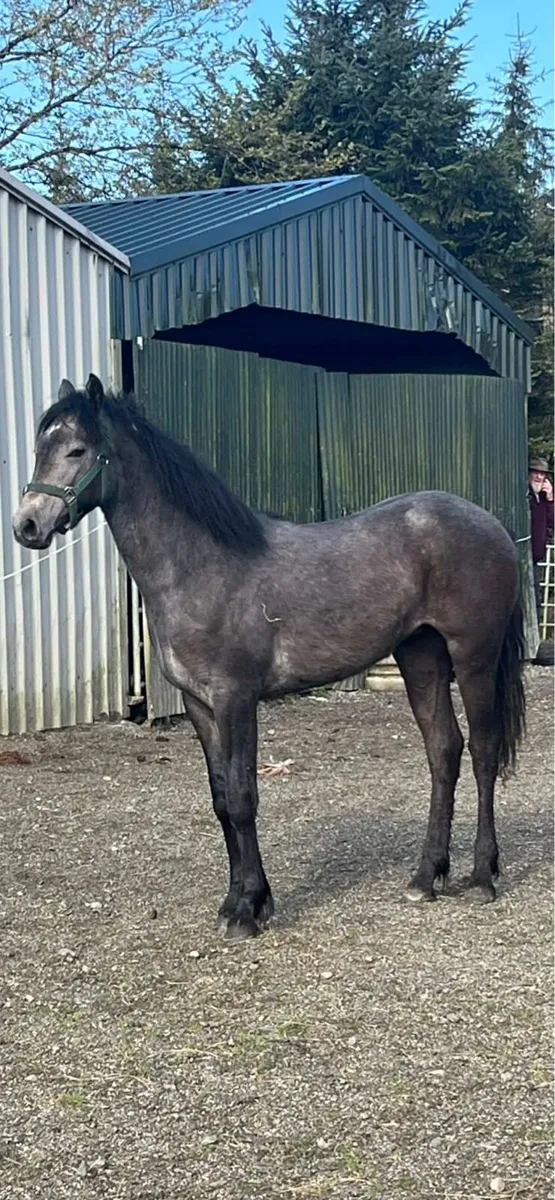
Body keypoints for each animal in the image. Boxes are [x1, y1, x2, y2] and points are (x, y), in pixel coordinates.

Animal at [13, 374, 526, 940]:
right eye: (40, 449)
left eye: (77, 450)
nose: (27, 525)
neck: (200, 568)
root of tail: (493, 526)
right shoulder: (200, 706)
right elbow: (220, 801)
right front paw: (238, 901)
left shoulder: (237, 699)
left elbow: (243, 799)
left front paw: (247, 911)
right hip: (421, 657)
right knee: (443, 751)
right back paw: (425, 876)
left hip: (474, 658)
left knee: (483, 752)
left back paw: (481, 877)